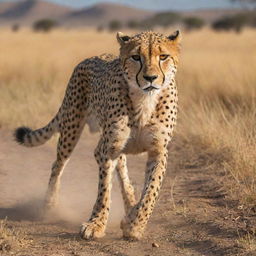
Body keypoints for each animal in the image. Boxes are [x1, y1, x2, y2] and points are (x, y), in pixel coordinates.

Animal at [14, 30, 180, 240]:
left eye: (163, 56)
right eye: (136, 57)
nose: (150, 78)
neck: (144, 100)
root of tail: (90, 57)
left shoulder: (158, 151)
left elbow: (151, 192)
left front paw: (134, 224)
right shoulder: (109, 149)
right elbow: (104, 190)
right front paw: (97, 224)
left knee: (121, 170)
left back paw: (129, 204)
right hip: (72, 127)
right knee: (58, 165)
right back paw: (49, 205)